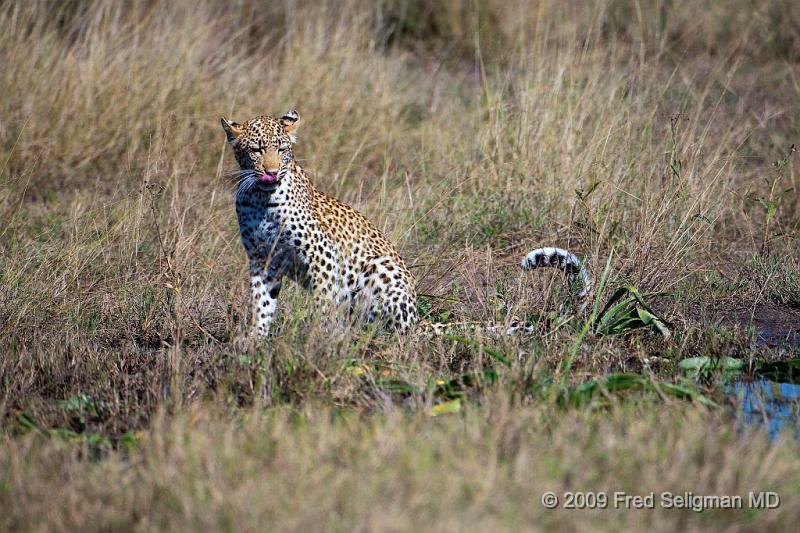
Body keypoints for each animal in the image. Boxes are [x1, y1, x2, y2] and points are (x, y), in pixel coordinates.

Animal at [222, 109, 592, 334]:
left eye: (282, 149)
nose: (272, 172)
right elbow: (262, 304)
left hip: (379, 270)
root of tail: (417, 321)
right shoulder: (262, 260)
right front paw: (254, 342)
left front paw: (319, 339)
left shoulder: (322, 256)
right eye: (256, 150)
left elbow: (324, 304)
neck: (260, 198)